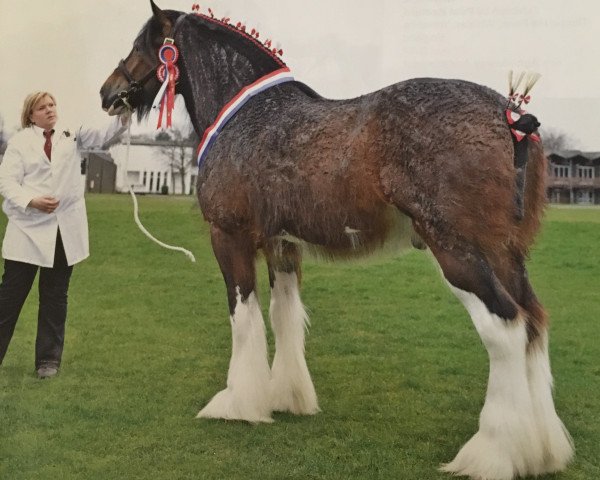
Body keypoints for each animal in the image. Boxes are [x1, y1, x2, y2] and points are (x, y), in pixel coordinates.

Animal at [101, 2, 576, 476]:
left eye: (140, 45)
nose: (109, 92)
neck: (248, 118)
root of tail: (512, 119)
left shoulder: (229, 236)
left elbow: (243, 316)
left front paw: (238, 403)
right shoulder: (282, 244)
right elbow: (284, 315)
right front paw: (286, 397)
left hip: (459, 252)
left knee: (506, 326)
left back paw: (491, 453)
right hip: (505, 255)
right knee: (534, 323)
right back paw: (542, 451)